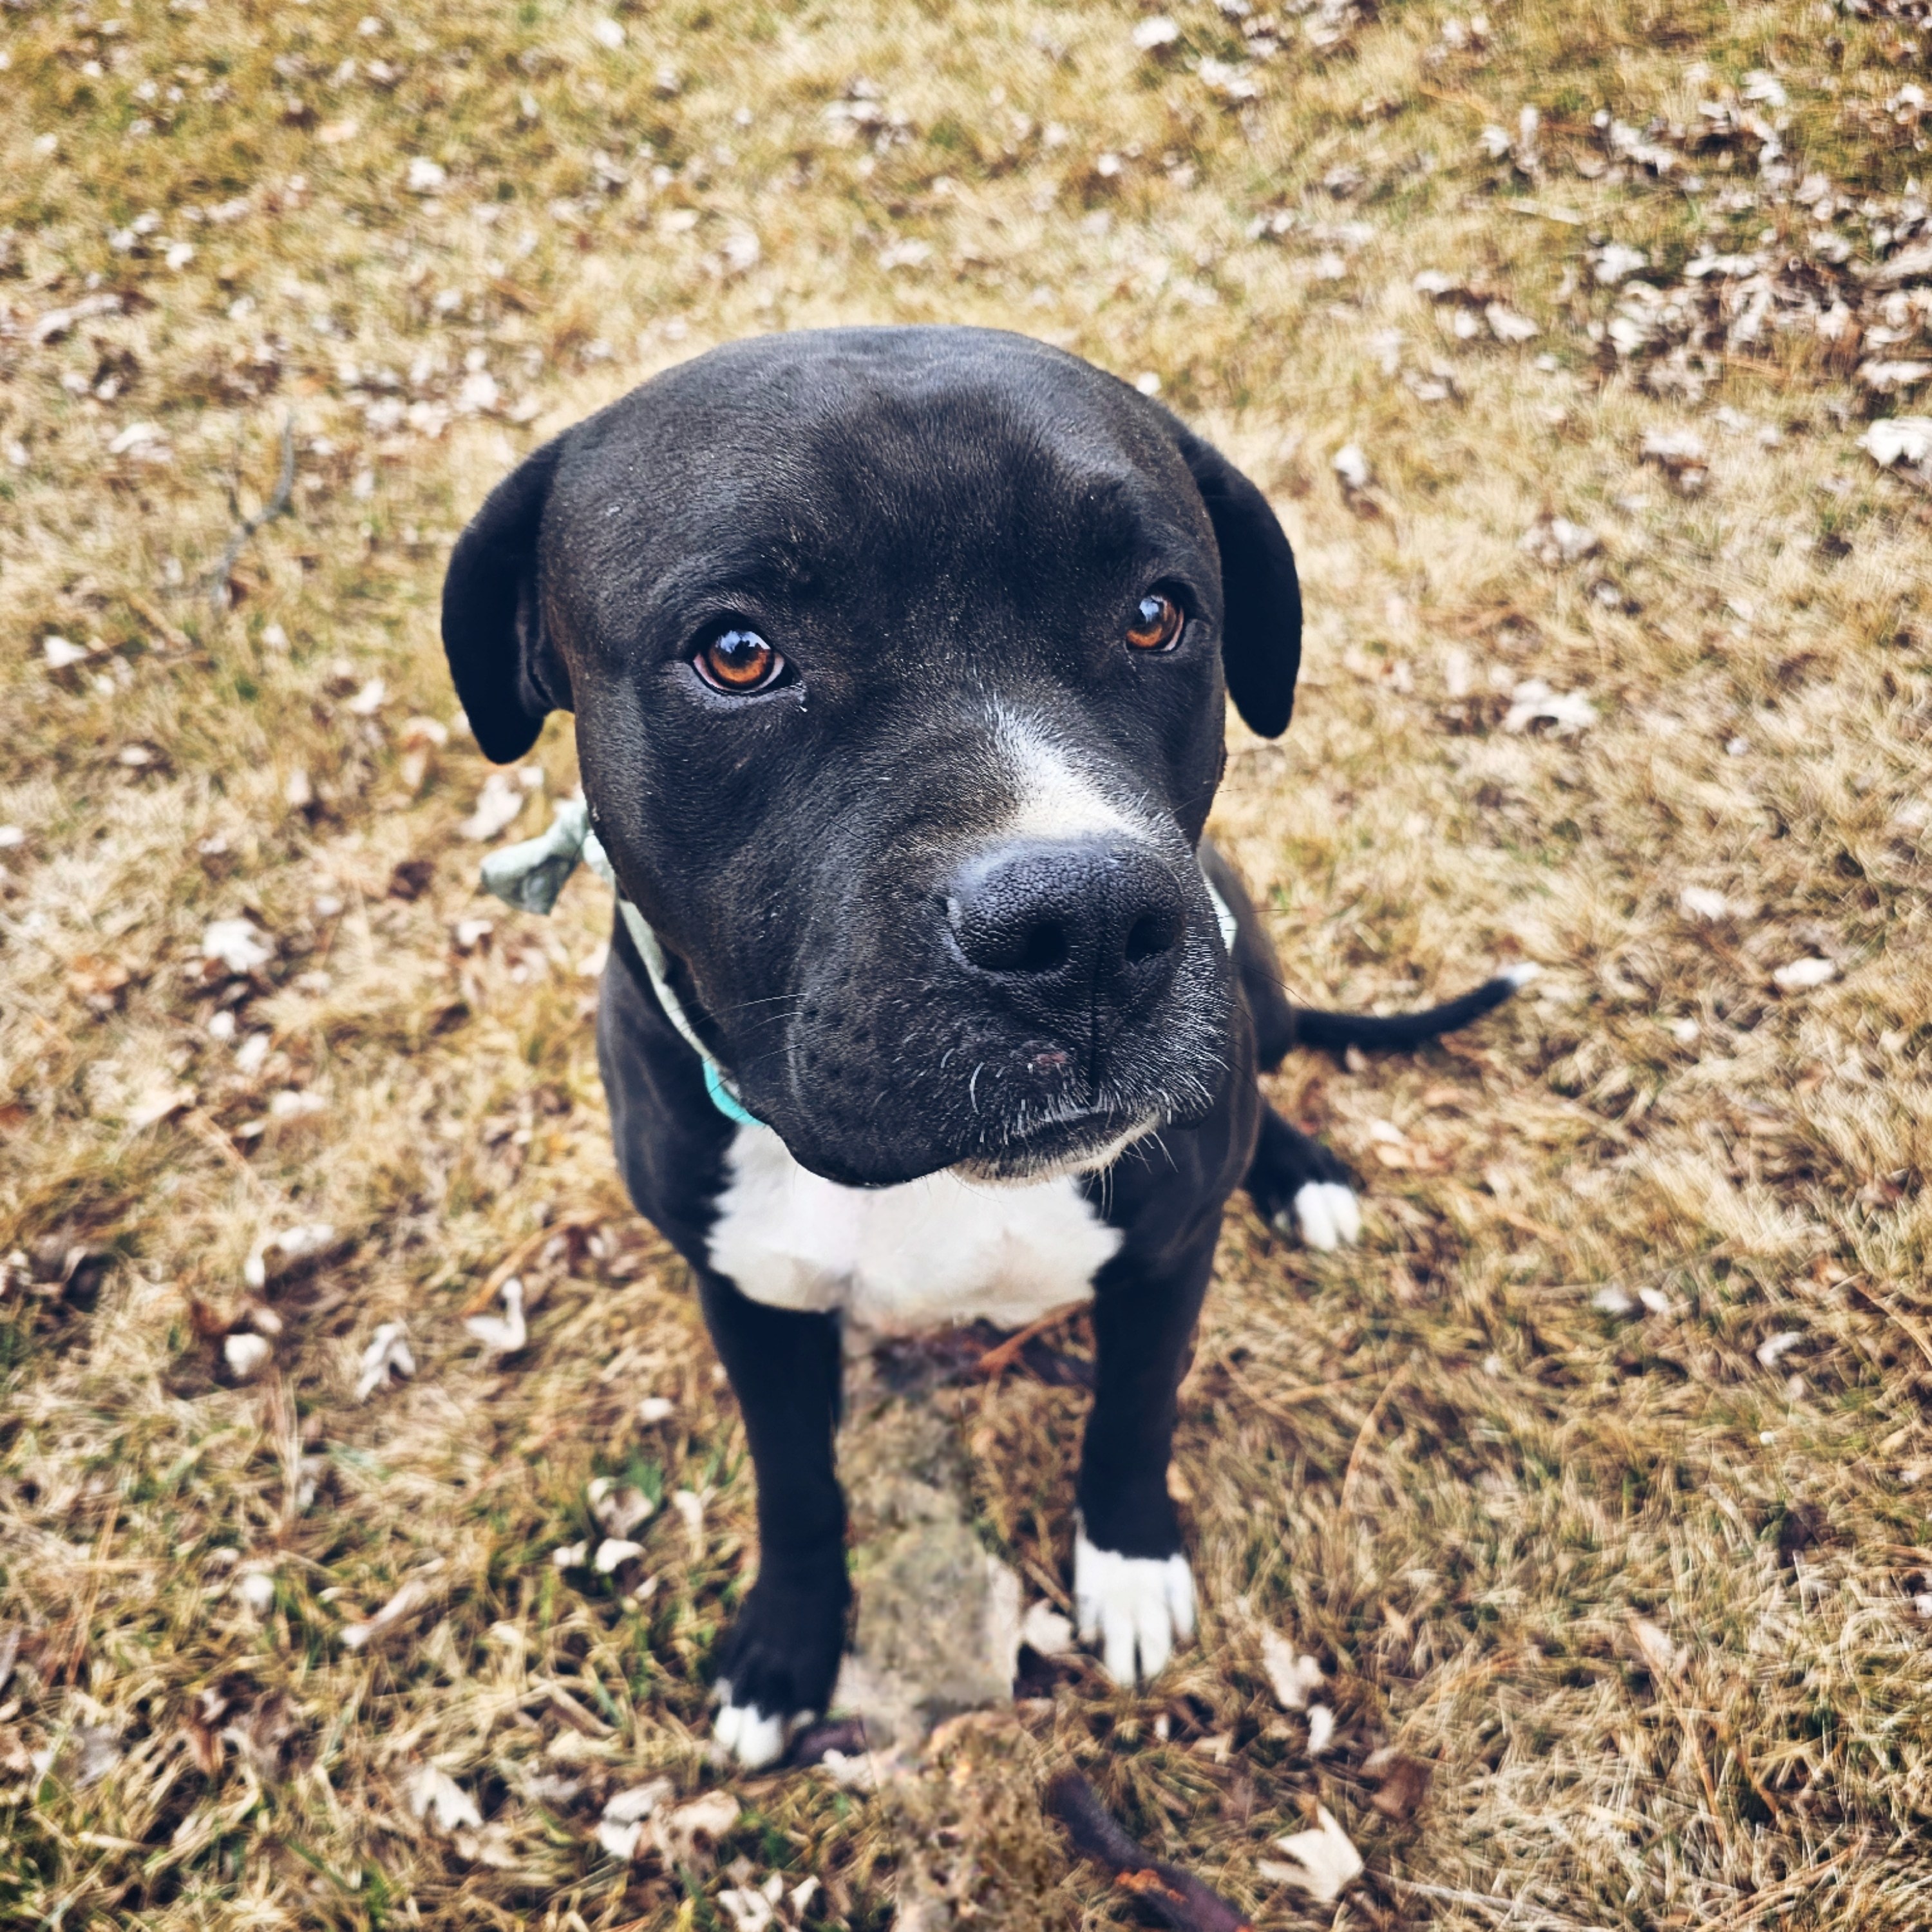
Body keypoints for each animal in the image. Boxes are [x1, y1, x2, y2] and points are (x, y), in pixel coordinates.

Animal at [442, 321, 1522, 1770]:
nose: (1085, 928)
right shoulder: (745, 1293)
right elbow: (796, 1482)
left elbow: (1133, 1415)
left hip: (1247, 947)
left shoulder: (1166, 1255)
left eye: (1155, 614)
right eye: (737, 653)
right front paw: (787, 1645)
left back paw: (1298, 1172)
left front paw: (1130, 1572)